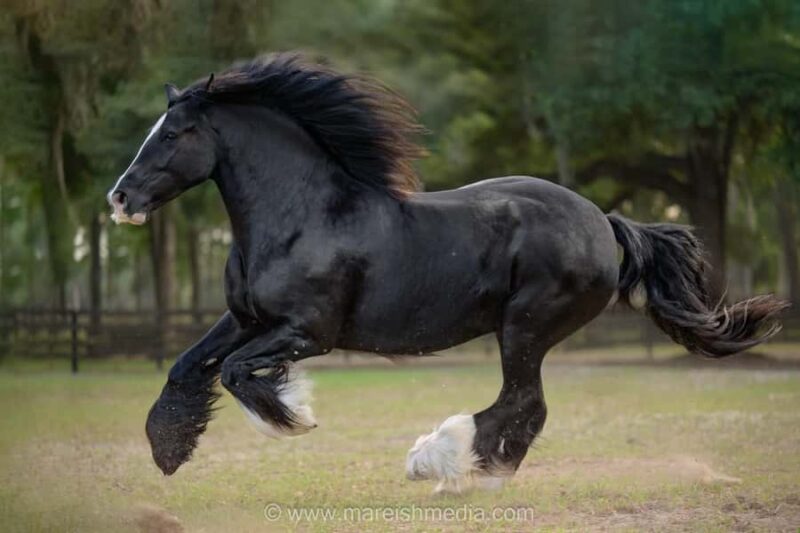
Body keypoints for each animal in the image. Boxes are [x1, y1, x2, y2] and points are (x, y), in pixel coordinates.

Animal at [107, 53, 787, 493]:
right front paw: (169, 450)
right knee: (524, 406)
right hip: (523, 331)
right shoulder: (243, 317)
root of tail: (604, 221)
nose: (120, 198)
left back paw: (442, 464)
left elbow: (238, 372)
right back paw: (476, 469)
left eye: (174, 132)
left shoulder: (308, 332)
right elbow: (190, 364)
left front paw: (292, 413)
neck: (304, 216)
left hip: (525, 328)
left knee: (523, 401)